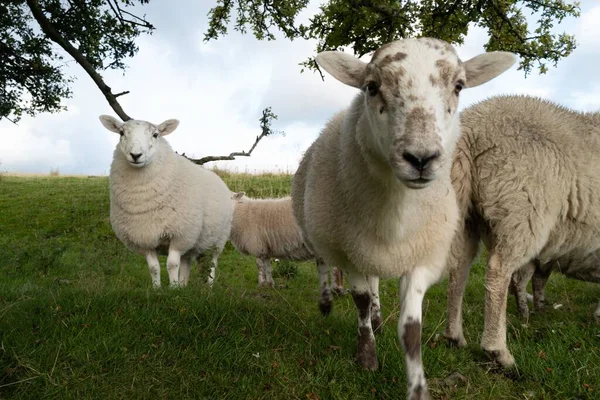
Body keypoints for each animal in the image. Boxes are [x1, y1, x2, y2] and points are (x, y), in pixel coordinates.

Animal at [99, 115, 233, 288]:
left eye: (155, 135)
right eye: (121, 133)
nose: (136, 155)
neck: (141, 199)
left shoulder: (179, 235)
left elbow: (172, 264)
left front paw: (173, 288)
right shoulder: (144, 239)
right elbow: (154, 267)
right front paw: (158, 288)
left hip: (218, 239)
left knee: (212, 263)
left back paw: (208, 286)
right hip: (192, 243)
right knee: (186, 262)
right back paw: (183, 285)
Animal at [292, 36, 516, 398]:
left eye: (459, 86)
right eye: (371, 87)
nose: (421, 158)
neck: (396, 215)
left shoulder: (420, 258)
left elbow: (411, 330)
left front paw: (418, 387)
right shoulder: (350, 254)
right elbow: (360, 301)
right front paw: (367, 358)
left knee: (375, 283)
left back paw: (378, 318)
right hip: (322, 233)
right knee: (324, 265)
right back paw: (327, 303)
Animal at [446, 94, 600, 368]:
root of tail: (471, 127)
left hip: (464, 209)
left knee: (459, 267)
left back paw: (455, 337)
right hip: (522, 207)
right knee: (498, 271)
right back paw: (498, 351)